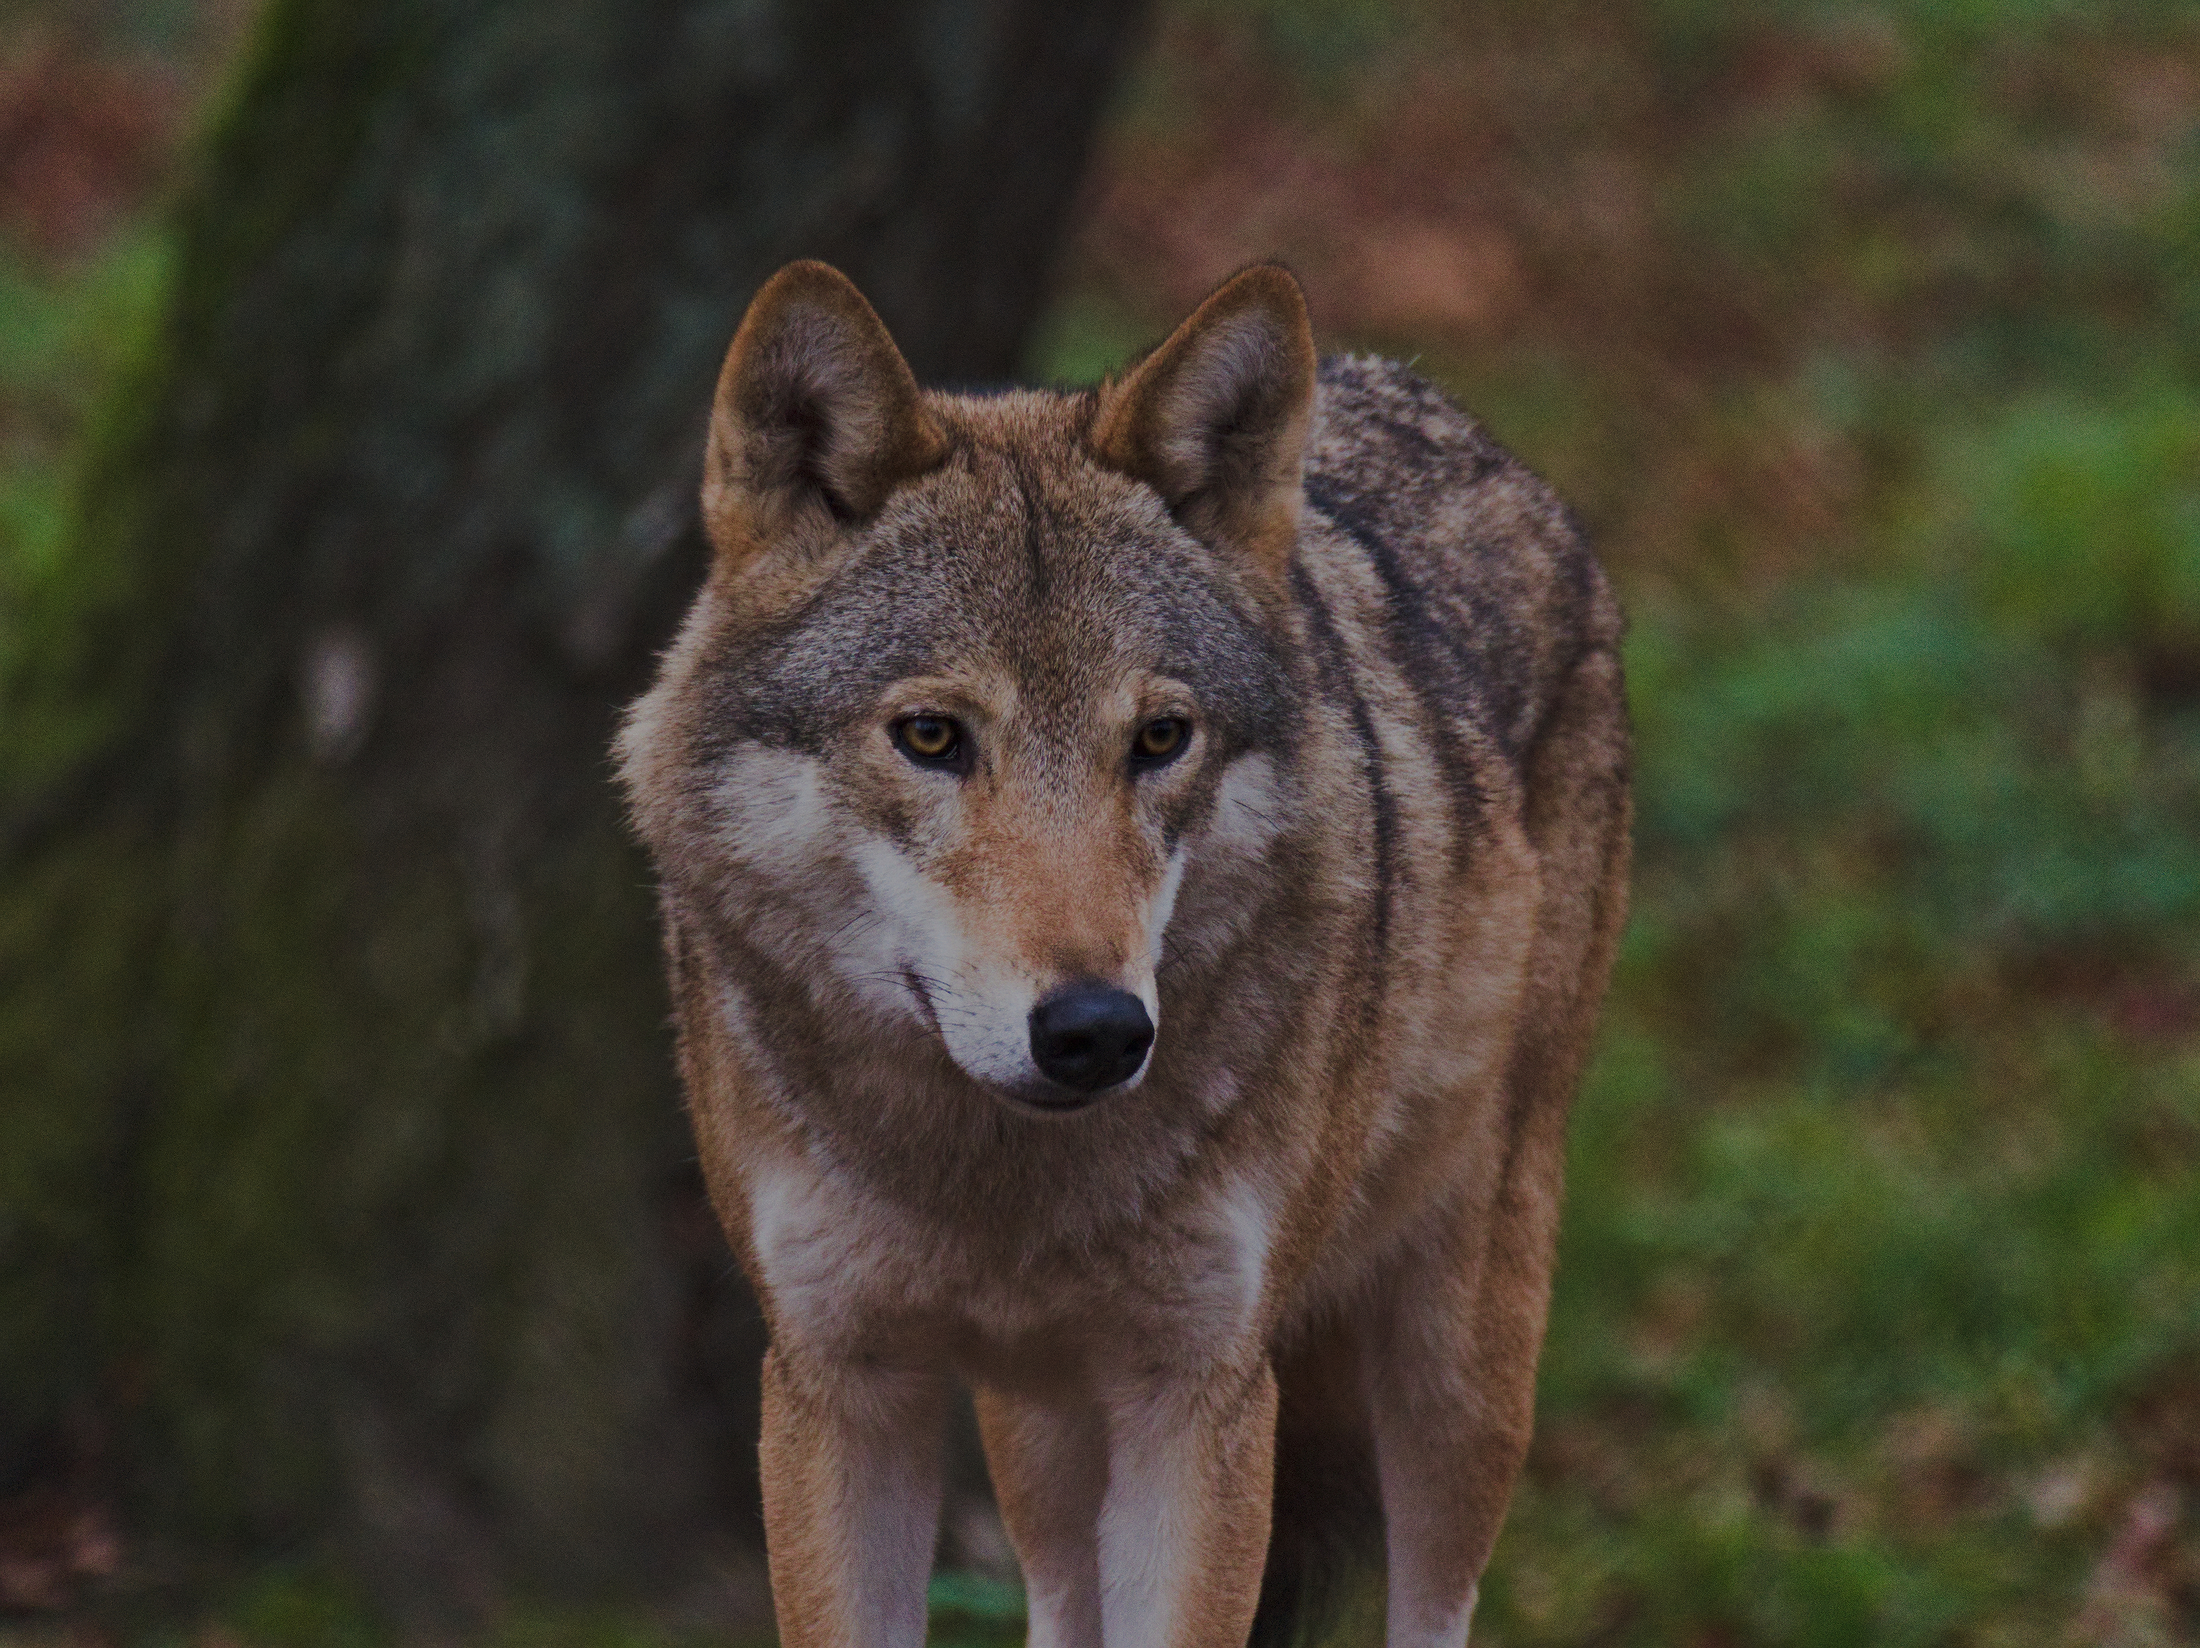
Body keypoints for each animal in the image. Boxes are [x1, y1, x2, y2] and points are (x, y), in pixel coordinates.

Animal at [616, 259, 1630, 1648]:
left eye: (1158, 739)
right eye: (930, 735)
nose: (1094, 1029)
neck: (997, 1192)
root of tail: (1473, 435)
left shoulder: (1199, 1402)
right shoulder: (836, 1388)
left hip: (1458, 1368)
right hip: (1043, 1443)